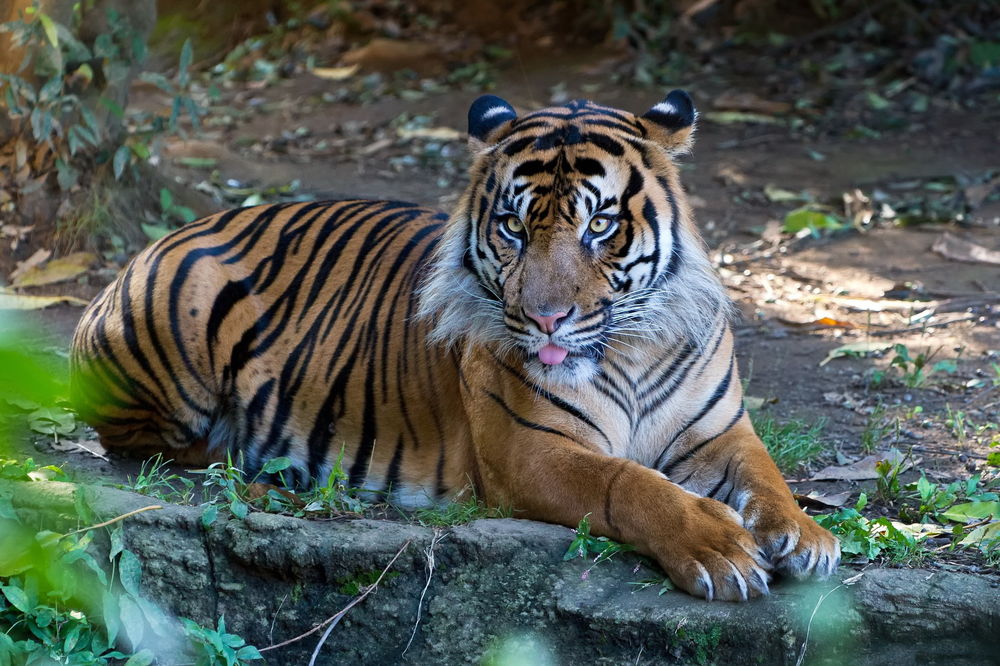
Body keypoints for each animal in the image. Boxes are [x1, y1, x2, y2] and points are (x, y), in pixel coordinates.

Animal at [70, 90, 840, 602]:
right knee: (153, 442)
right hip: (176, 354)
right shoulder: (531, 450)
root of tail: (161, 240)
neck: (629, 348)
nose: (546, 320)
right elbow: (630, 484)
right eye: (513, 227)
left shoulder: (721, 432)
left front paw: (806, 538)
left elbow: (769, 476)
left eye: (598, 226)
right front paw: (720, 548)